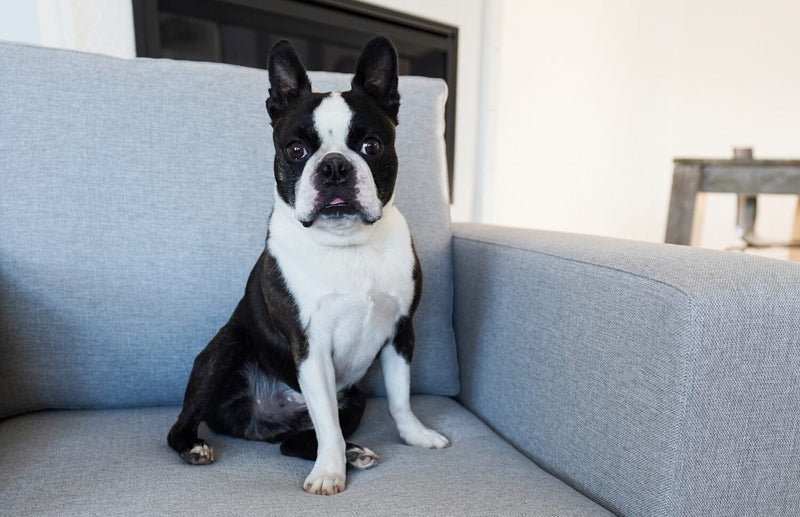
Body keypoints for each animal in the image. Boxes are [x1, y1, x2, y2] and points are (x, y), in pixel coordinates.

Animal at [167, 36, 450, 496]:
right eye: (296, 150)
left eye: (371, 146)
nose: (334, 166)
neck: (347, 244)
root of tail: (261, 421)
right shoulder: (310, 345)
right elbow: (328, 425)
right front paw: (329, 473)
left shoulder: (400, 331)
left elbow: (400, 397)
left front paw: (415, 435)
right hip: (228, 346)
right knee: (184, 424)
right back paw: (194, 446)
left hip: (354, 397)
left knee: (298, 441)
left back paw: (355, 452)